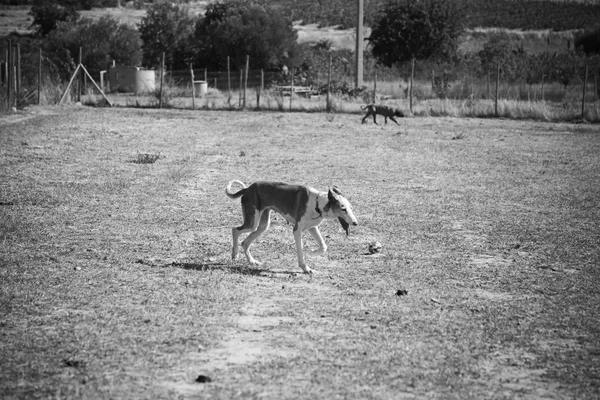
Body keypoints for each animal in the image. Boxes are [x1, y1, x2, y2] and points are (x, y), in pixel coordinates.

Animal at [224, 181, 356, 276]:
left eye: (351, 208)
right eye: (343, 209)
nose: (355, 223)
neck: (317, 204)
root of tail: (248, 188)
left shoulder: (312, 227)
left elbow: (323, 246)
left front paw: (312, 253)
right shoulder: (297, 230)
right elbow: (301, 251)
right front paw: (306, 268)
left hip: (262, 225)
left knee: (245, 242)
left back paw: (252, 261)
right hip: (252, 223)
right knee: (235, 230)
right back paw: (235, 254)